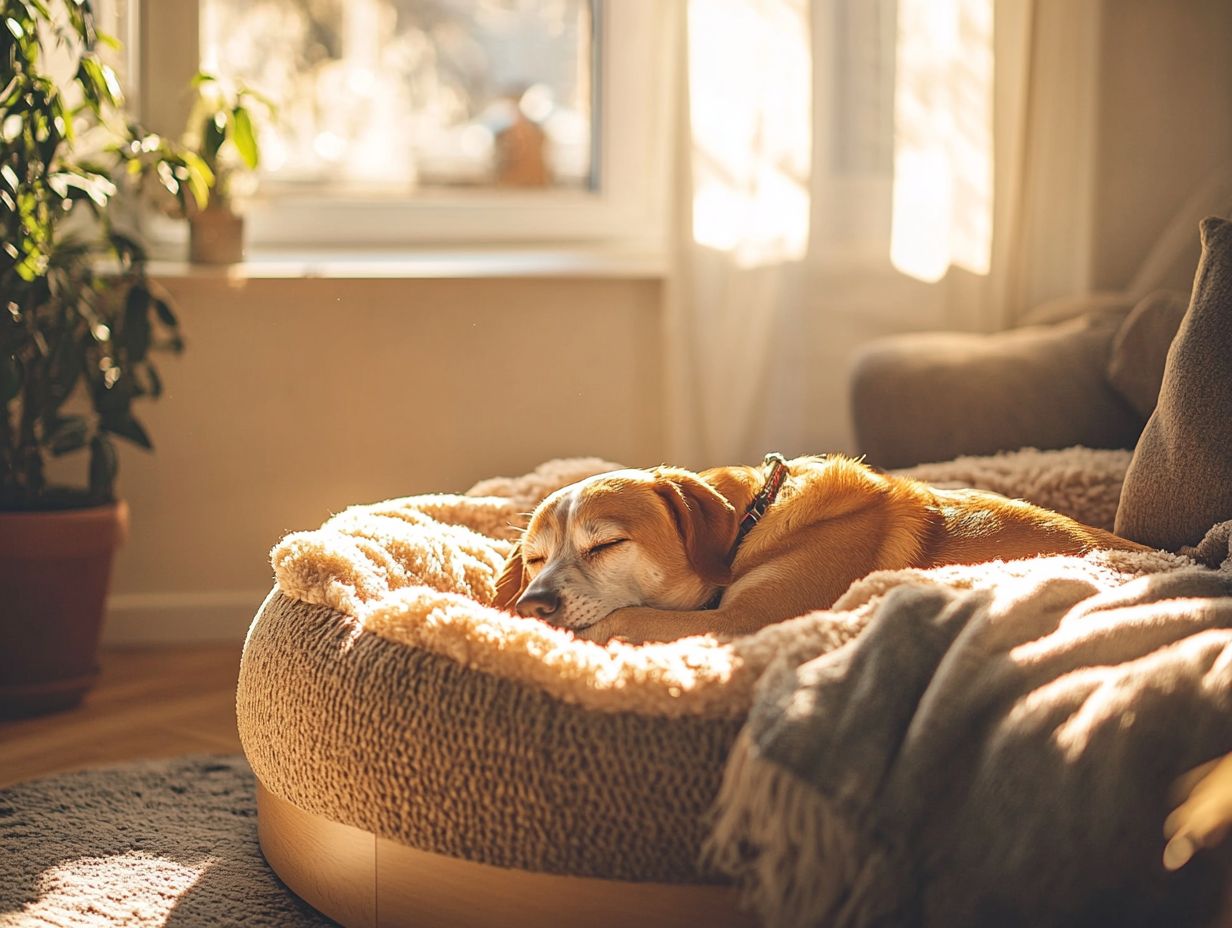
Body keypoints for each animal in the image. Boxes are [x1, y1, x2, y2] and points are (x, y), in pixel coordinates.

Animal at [495, 453, 1148, 640]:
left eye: (606, 544)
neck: (754, 519)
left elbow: (623, 619)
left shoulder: (741, 622)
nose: (531, 604)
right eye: (533, 558)